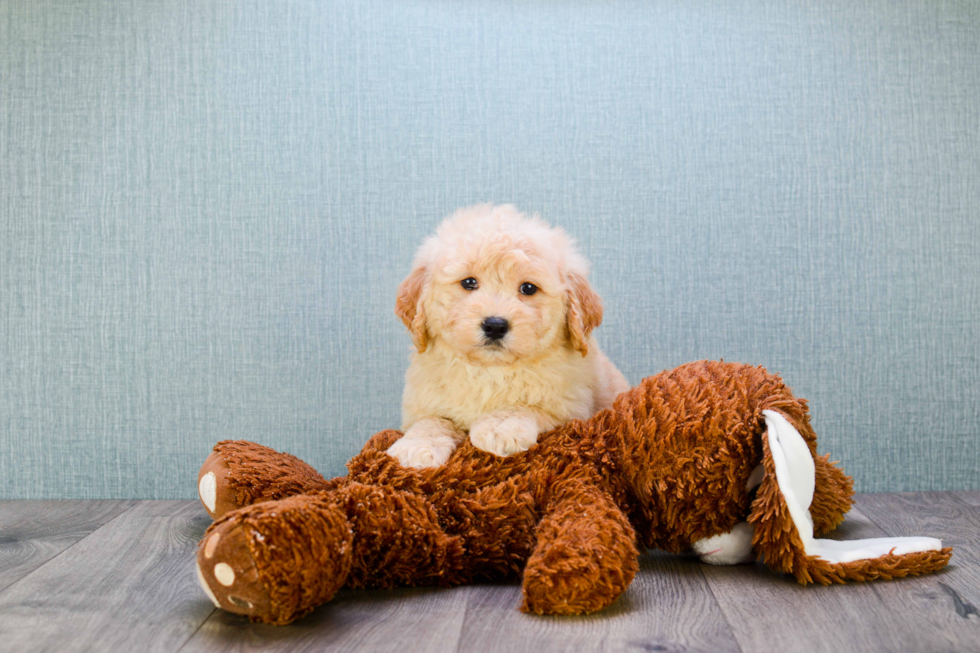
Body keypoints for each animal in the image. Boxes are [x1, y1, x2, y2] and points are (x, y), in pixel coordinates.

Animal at [382, 204, 628, 468]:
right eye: (468, 282)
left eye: (528, 288)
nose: (495, 325)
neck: (490, 371)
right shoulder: (422, 404)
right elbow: (432, 420)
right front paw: (416, 446)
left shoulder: (570, 412)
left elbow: (522, 407)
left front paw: (499, 427)